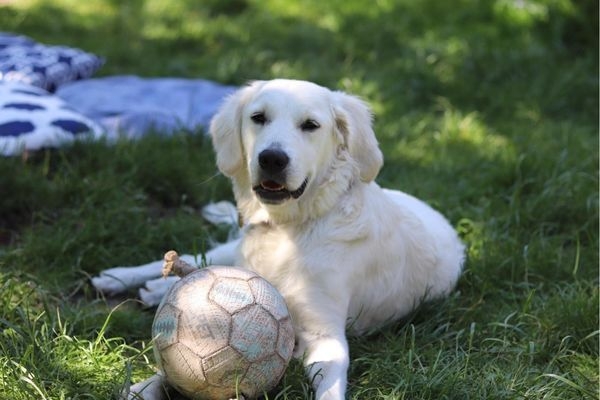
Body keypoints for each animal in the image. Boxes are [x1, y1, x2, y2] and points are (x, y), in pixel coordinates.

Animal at [95, 79, 468, 400]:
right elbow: (172, 366)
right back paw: (119, 277)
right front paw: (144, 387)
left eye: (311, 125)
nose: (272, 158)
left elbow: (330, 386)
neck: (288, 230)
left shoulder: (325, 334)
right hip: (233, 254)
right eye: (258, 118)